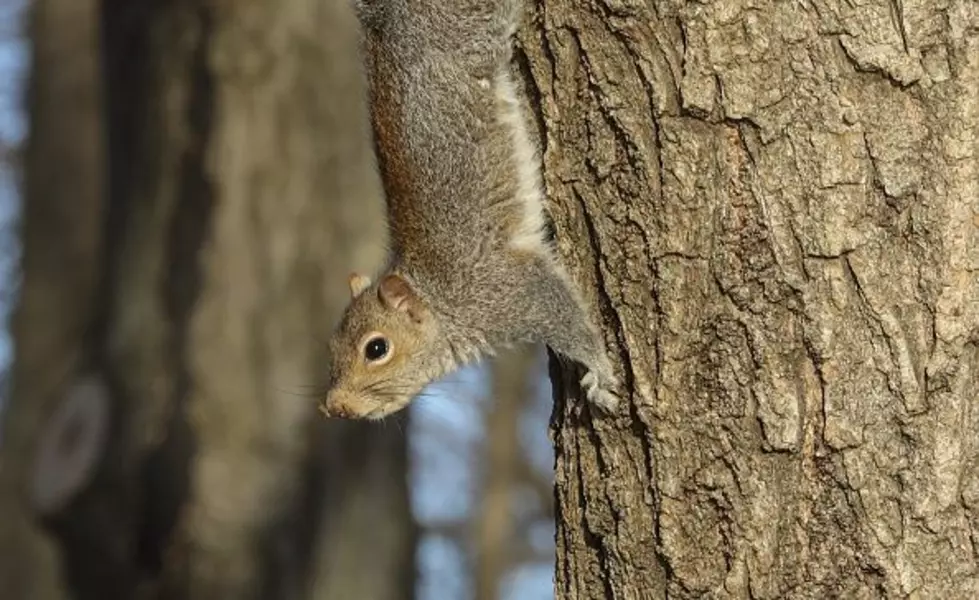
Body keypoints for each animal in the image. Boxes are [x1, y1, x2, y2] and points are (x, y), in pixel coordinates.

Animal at [326, 0, 624, 422]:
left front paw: (599, 371)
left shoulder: (511, 292)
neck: (440, 301)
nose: (333, 406)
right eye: (331, 345)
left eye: (377, 349)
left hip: (469, 22)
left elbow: (568, 320)